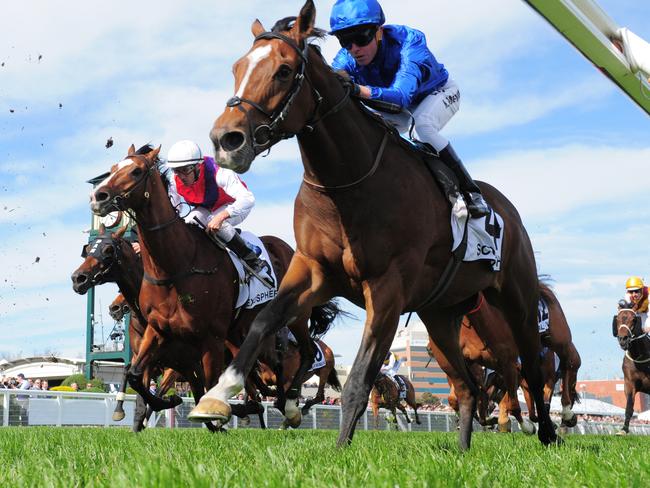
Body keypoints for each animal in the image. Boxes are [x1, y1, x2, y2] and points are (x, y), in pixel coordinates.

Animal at [187, 0, 556, 450]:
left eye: (284, 70)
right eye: (237, 67)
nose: (226, 140)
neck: (346, 185)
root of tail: (509, 210)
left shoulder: (387, 288)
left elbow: (360, 377)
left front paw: (340, 450)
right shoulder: (312, 270)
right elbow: (261, 323)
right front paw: (216, 397)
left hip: (516, 296)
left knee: (531, 368)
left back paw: (548, 433)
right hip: (439, 315)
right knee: (467, 386)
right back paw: (464, 449)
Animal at [612, 304, 648, 434]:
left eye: (633, 319)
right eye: (617, 319)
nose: (623, 339)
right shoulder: (629, 383)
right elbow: (629, 407)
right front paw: (623, 430)